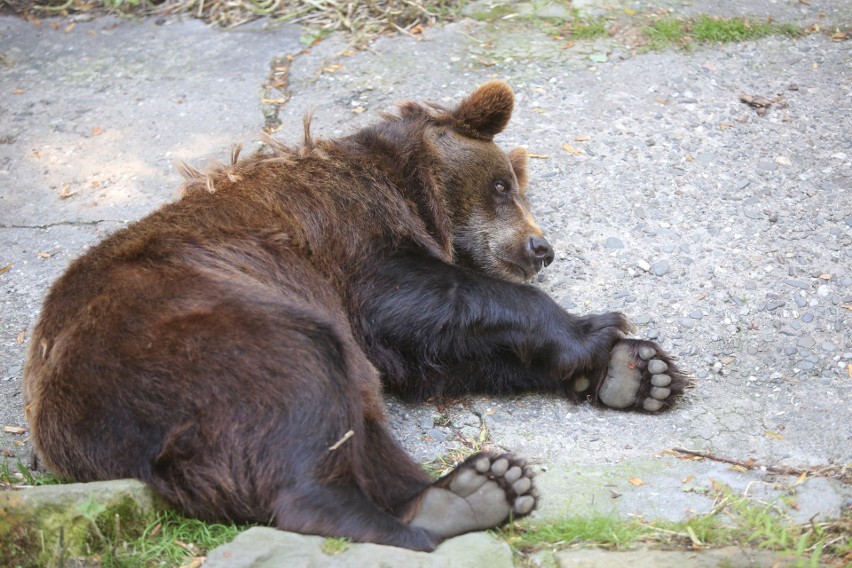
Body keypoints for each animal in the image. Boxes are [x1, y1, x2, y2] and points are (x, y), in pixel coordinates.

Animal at [23, 81, 688, 552]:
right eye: (502, 185)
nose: (540, 247)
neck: (407, 186)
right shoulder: (346, 240)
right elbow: (419, 301)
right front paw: (599, 332)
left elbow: (433, 353)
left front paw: (636, 371)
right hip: (193, 329)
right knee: (305, 388)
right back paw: (433, 510)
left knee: (356, 416)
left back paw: (481, 487)